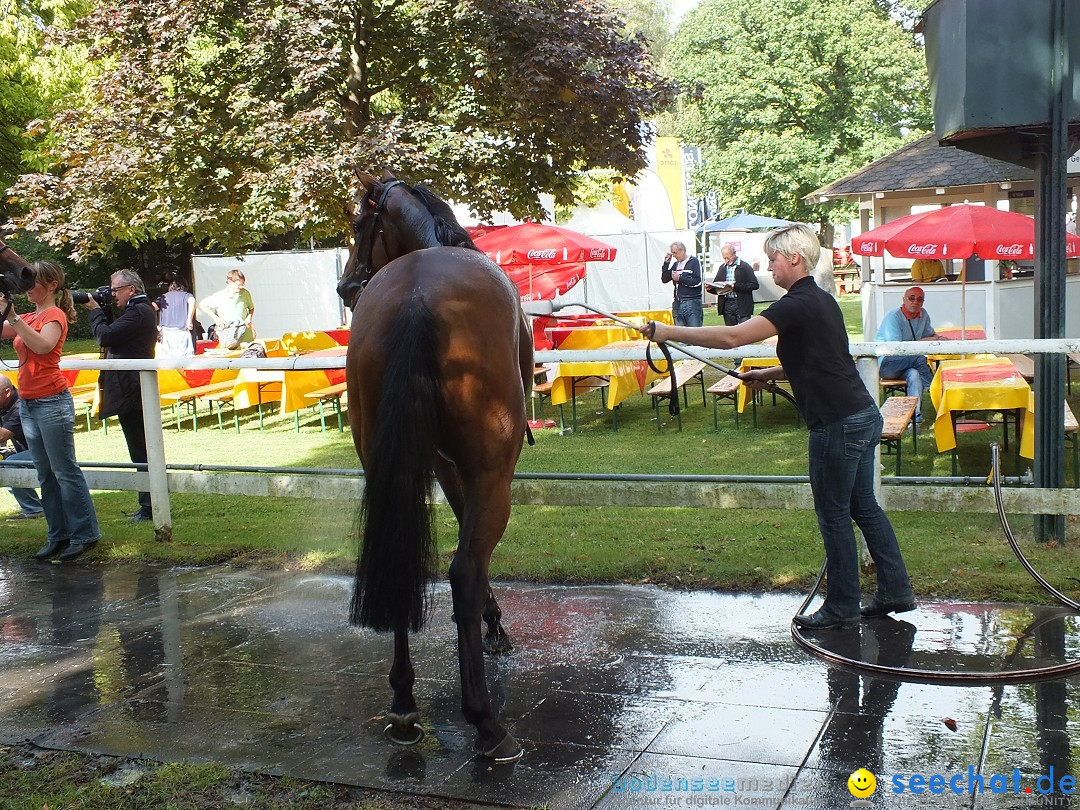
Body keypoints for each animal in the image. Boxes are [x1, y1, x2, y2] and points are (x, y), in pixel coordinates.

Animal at [336, 172, 531, 768]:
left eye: (359, 224)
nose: (345, 287)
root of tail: (416, 295)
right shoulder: (465, 470)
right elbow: (474, 558)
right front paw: (494, 628)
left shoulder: (438, 466)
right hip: (494, 474)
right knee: (465, 570)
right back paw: (487, 724)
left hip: (388, 468)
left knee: (399, 564)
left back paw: (403, 704)